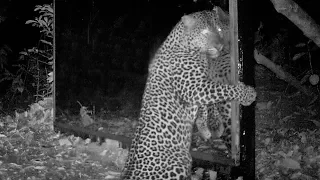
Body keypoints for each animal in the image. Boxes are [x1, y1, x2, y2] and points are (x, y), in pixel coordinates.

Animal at [120, 6, 258, 179]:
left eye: (219, 29)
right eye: (205, 32)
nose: (220, 46)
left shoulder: (201, 86)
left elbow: (207, 105)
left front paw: (207, 128)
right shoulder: (196, 88)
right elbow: (223, 90)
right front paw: (247, 93)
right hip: (180, 163)